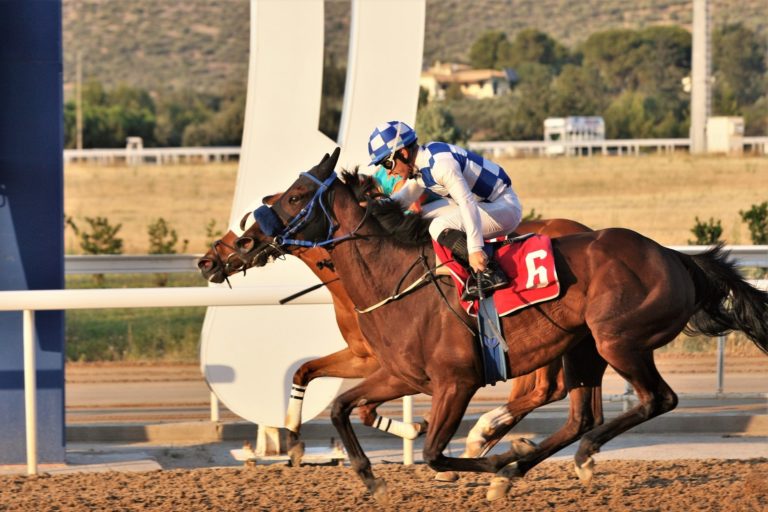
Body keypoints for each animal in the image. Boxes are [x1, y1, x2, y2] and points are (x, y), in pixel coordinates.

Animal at [200, 185, 608, 480]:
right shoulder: (366, 358)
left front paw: (418, 429)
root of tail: (587, 231)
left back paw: (484, 437)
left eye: (248, 220)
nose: (208, 260)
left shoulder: (383, 362)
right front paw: (297, 440)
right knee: (552, 391)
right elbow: (309, 373)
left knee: (544, 389)